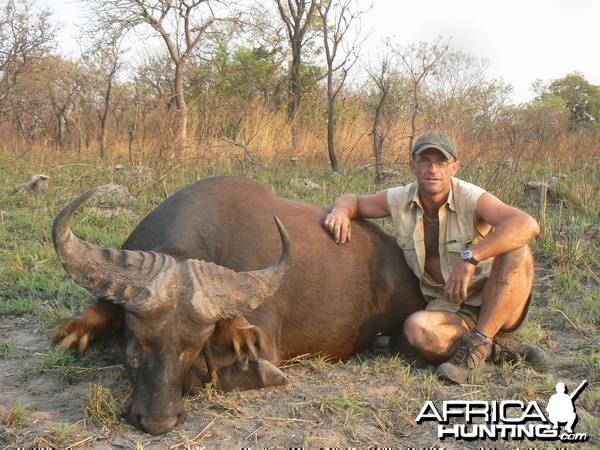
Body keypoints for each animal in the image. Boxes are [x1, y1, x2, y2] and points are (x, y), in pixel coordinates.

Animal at [52, 175, 426, 432]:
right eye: (135, 338)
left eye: (193, 346)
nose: (159, 421)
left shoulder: (264, 342)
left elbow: (206, 373)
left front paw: (263, 374)